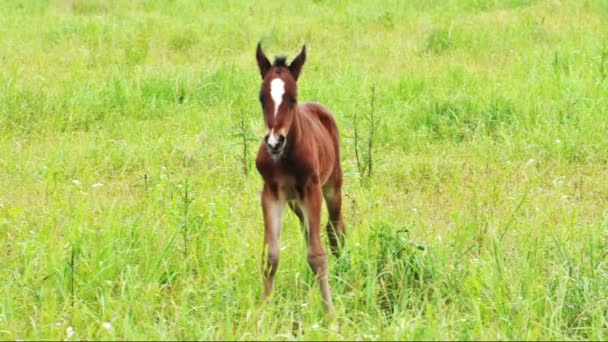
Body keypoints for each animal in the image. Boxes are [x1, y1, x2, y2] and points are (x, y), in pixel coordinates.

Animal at [253, 44, 346, 314]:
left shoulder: (311, 190)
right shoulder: (271, 193)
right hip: (295, 202)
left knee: (335, 229)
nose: (274, 142)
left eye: (293, 98)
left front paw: (330, 314)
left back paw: (342, 270)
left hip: (332, 186)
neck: (285, 158)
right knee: (309, 233)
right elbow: (270, 256)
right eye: (261, 98)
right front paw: (263, 311)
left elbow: (317, 255)